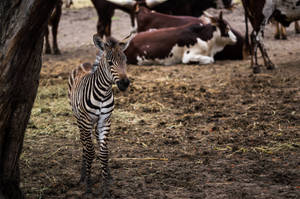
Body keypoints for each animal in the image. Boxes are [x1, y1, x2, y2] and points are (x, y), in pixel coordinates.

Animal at [69, 34, 132, 196]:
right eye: (110, 63)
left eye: (125, 61)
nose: (125, 84)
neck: (103, 93)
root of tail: (84, 63)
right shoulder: (85, 121)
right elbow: (90, 151)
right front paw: (88, 186)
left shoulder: (105, 120)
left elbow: (104, 152)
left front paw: (105, 187)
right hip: (79, 119)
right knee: (84, 144)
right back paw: (83, 176)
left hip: (95, 123)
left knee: (96, 141)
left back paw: (107, 174)